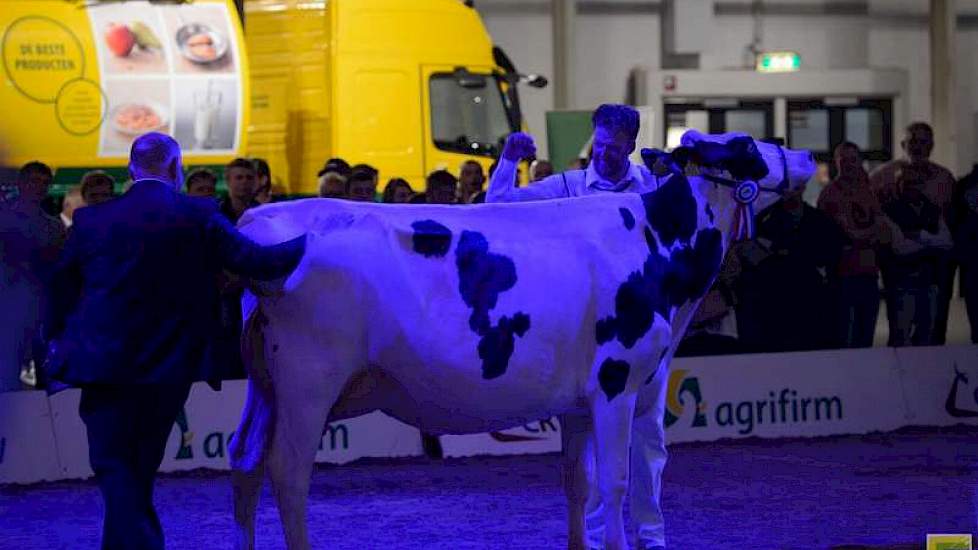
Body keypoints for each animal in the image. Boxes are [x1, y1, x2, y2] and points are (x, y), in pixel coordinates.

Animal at [229, 132, 816, 548]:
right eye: (747, 146)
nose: (808, 155)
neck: (656, 243)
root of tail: (264, 221)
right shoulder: (617, 382)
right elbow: (615, 483)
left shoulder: (579, 399)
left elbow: (578, 484)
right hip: (310, 382)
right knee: (288, 473)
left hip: (266, 385)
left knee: (245, 460)